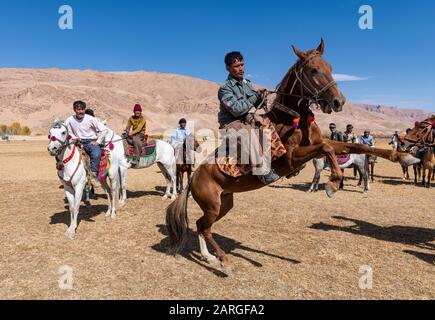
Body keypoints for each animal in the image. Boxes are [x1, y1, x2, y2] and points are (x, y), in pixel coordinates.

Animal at [166, 38, 418, 274]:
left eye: (330, 66)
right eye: (313, 70)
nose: (339, 101)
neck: (290, 118)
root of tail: (194, 178)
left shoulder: (322, 144)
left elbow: (357, 147)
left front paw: (404, 156)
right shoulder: (290, 159)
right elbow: (326, 150)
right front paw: (333, 184)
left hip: (224, 203)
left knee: (201, 226)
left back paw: (209, 258)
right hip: (213, 205)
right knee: (204, 227)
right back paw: (224, 261)